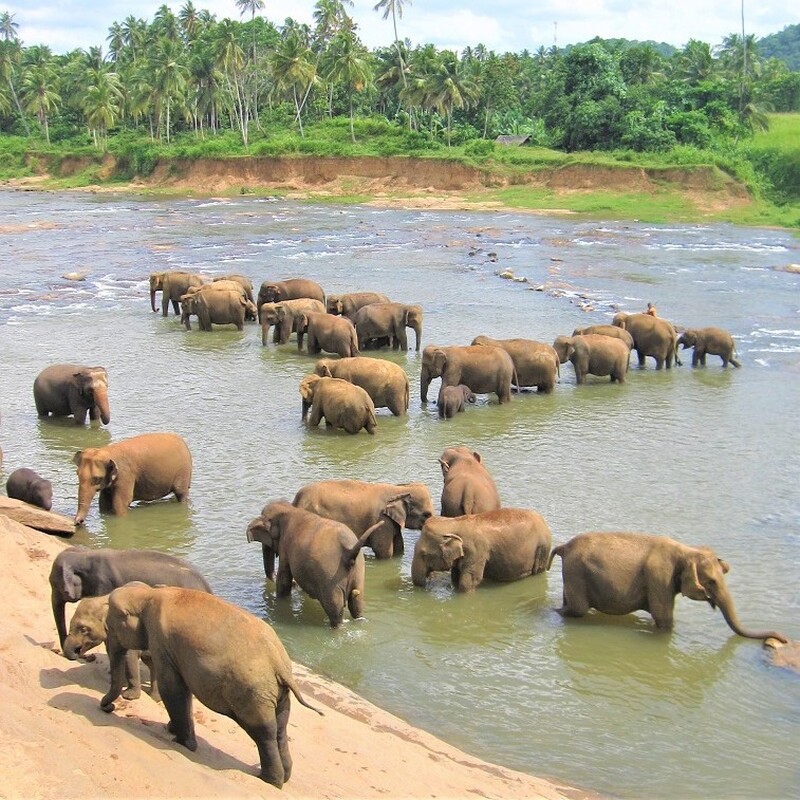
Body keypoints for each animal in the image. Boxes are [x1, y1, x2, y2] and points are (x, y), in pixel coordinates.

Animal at [100, 584, 323, 788]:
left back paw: (269, 780)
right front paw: (172, 731)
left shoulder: (161, 643)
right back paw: (284, 777)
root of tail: (277, 660)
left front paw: (181, 743)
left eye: (110, 627)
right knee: (280, 727)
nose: (109, 707)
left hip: (251, 693)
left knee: (263, 731)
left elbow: (172, 689)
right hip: (278, 692)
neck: (148, 593)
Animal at [246, 500, 381, 627]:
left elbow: (284, 578)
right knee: (356, 605)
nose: (295, 584)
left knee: (335, 610)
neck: (290, 509)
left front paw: (281, 599)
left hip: (329, 580)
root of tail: (350, 551)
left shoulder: (285, 545)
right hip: (358, 573)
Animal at [292, 479, 433, 558]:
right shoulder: (381, 520)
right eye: (427, 515)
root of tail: (297, 500)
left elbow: (399, 548)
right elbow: (383, 551)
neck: (399, 488)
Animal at [411, 509, 553, 592]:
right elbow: (455, 577)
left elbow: (468, 581)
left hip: (543, 548)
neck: (453, 522)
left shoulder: (476, 550)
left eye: (424, 555)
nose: (429, 580)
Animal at [549, 532, 788, 641]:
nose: (783, 637)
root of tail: (564, 546)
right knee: (577, 610)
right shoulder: (659, 578)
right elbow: (664, 618)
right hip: (576, 574)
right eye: (711, 582)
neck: (687, 550)